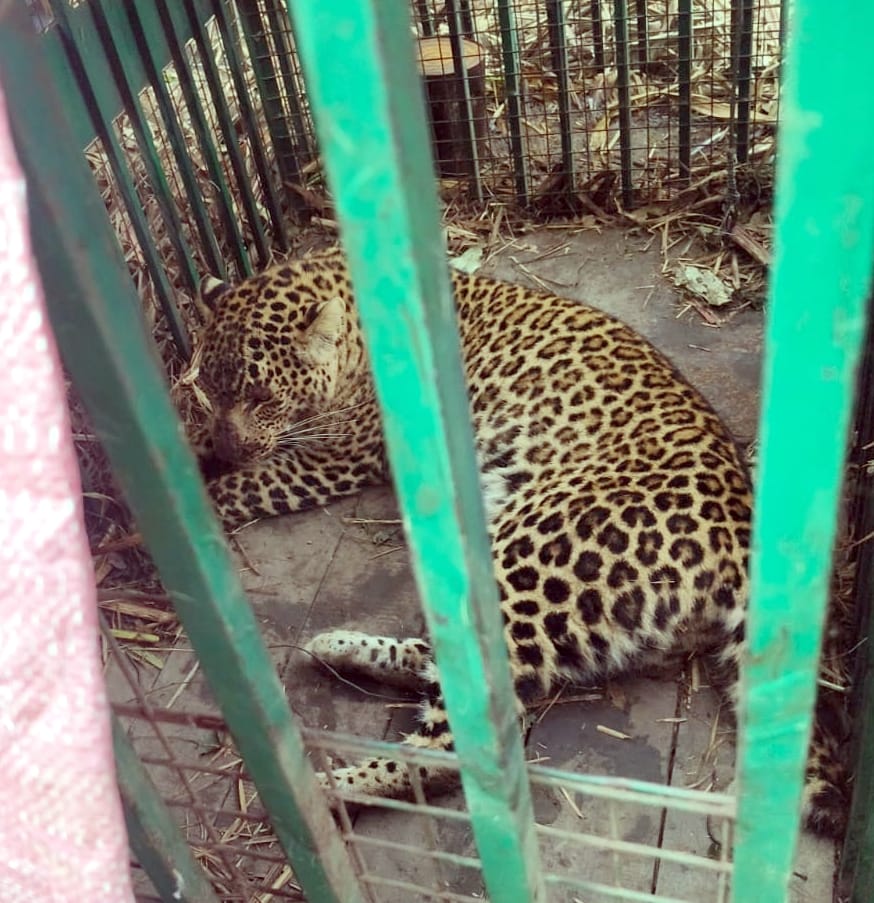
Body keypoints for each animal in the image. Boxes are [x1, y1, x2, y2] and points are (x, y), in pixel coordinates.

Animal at [192, 247, 849, 837]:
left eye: (262, 398)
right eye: (211, 389)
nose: (231, 445)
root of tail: (744, 541)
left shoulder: (334, 456)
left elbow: (246, 484)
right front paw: (189, 456)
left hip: (533, 552)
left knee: (458, 746)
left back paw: (320, 792)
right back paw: (336, 649)